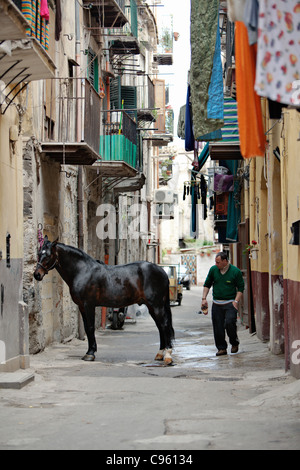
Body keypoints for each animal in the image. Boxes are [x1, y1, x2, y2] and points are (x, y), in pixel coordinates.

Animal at [33, 237, 175, 366]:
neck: (82, 271)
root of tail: (161, 271)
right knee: (160, 327)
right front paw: (90, 351)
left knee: (164, 325)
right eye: (39, 253)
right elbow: (87, 327)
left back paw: (168, 356)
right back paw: (160, 354)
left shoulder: (88, 305)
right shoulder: (82, 307)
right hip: (153, 307)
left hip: (156, 305)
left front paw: (90, 354)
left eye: (48, 255)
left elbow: (90, 328)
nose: (37, 274)